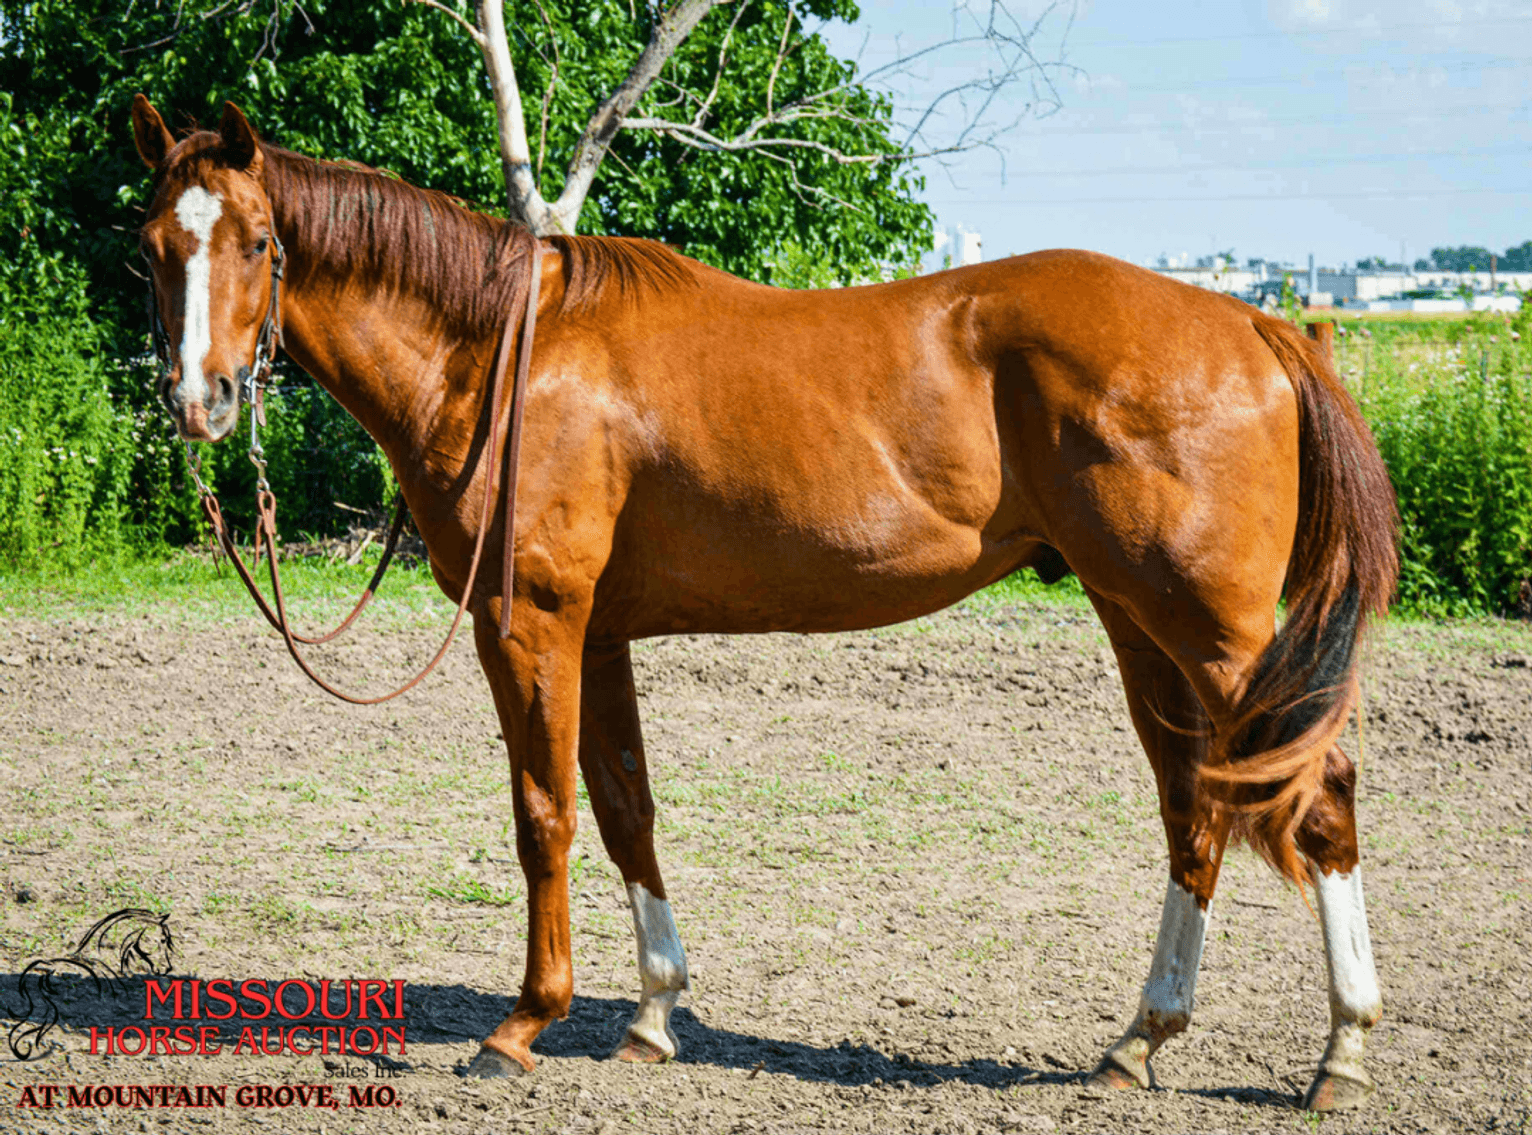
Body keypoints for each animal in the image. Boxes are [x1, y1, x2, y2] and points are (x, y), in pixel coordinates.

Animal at [130, 96, 1398, 1111]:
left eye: (256, 241)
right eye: (154, 244)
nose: (201, 399)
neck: (499, 357)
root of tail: (1251, 322)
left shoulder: (529, 622)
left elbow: (543, 814)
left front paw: (523, 1023)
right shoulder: (599, 634)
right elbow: (626, 808)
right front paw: (651, 1012)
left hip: (1214, 632)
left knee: (1318, 792)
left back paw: (1339, 1053)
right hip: (1141, 625)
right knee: (1194, 804)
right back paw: (1136, 1041)